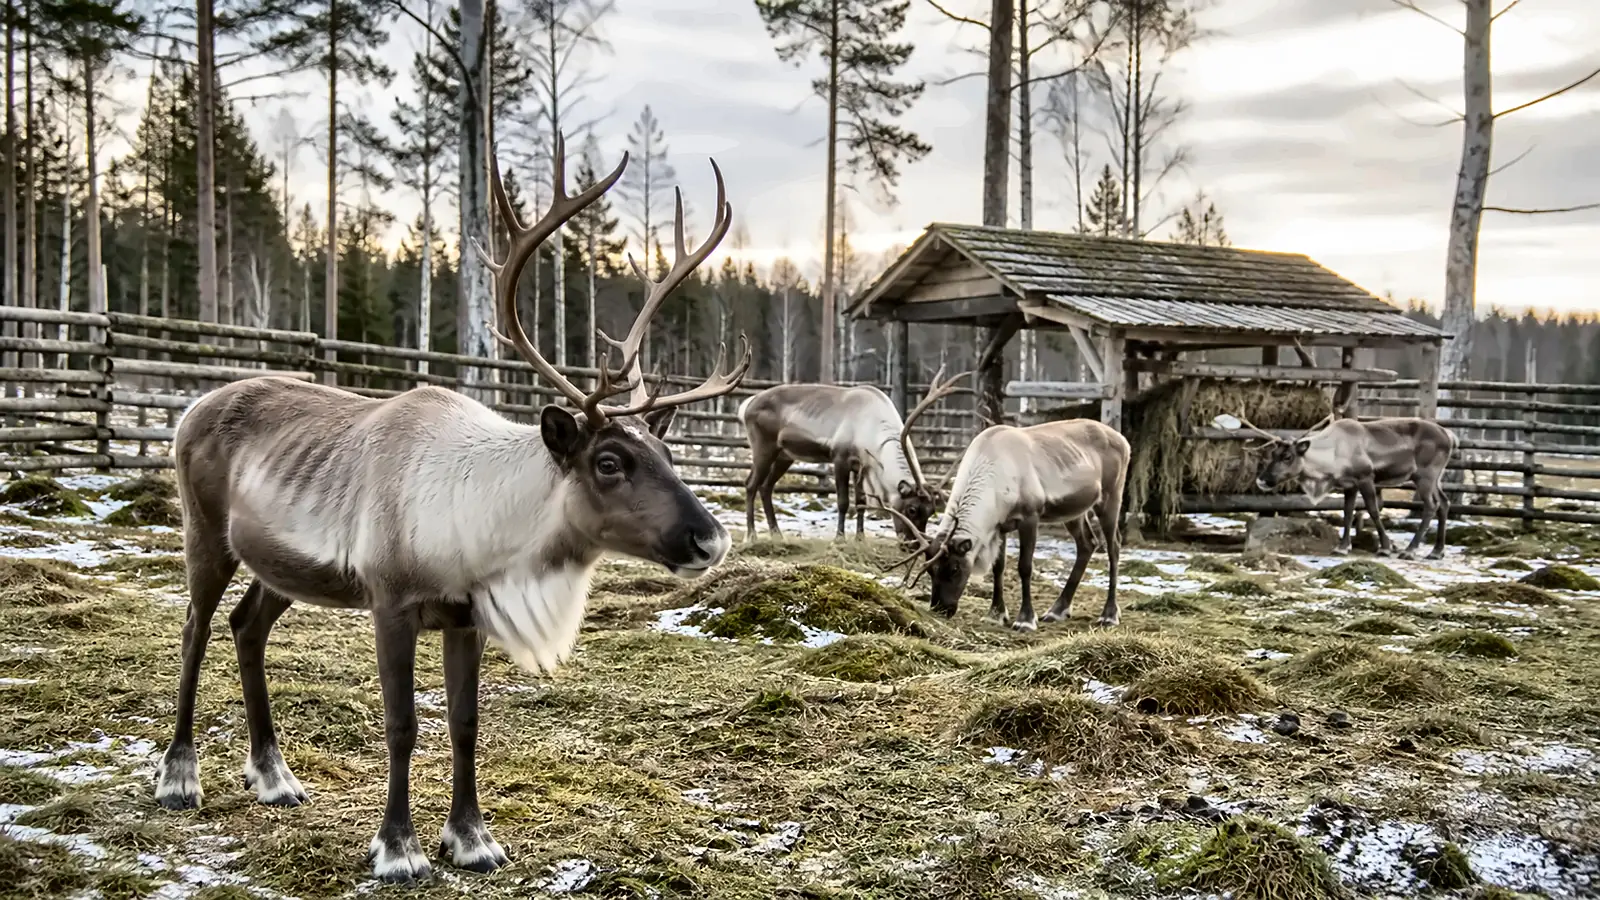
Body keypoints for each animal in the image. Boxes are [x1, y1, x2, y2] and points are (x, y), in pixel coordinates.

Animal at [151, 134, 752, 883]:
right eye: (609, 461)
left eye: (667, 452)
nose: (710, 539)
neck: (486, 524)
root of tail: (192, 406)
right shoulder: (390, 602)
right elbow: (403, 723)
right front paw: (397, 847)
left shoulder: (467, 617)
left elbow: (466, 724)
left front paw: (471, 839)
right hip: (205, 532)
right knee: (195, 628)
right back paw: (179, 777)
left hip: (279, 567)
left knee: (245, 627)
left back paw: (274, 776)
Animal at [737, 367, 968, 543]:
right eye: (911, 509)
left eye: (931, 512)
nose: (912, 544)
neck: (872, 429)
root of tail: (748, 403)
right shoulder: (840, 458)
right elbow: (843, 502)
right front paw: (839, 539)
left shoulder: (861, 467)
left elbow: (861, 502)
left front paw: (860, 538)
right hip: (763, 448)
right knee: (751, 484)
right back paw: (751, 535)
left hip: (785, 455)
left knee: (766, 487)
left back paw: (777, 534)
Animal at [883, 418, 1131, 632]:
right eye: (930, 570)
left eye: (954, 568)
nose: (941, 608)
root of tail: (1123, 440)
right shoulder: (999, 525)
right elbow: (998, 567)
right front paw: (996, 613)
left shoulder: (1030, 516)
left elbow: (1024, 566)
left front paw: (1025, 620)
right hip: (1073, 511)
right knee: (1087, 543)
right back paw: (1057, 610)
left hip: (1110, 496)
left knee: (1114, 547)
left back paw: (1109, 615)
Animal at [1226, 413, 1457, 560]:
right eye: (1273, 453)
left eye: (1287, 456)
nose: (1262, 480)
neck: (1332, 456)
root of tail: (1450, 435)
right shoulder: (1349, 484)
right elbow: (1347, 512)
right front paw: (1343, 547)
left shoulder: (1365, 477)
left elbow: (1373, 510)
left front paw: (1385, 547)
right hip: (1436, 478)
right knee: (1444, 503)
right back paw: (1437, 551)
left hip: (1425, 476)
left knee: (1431, 506)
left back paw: (1410, 550)